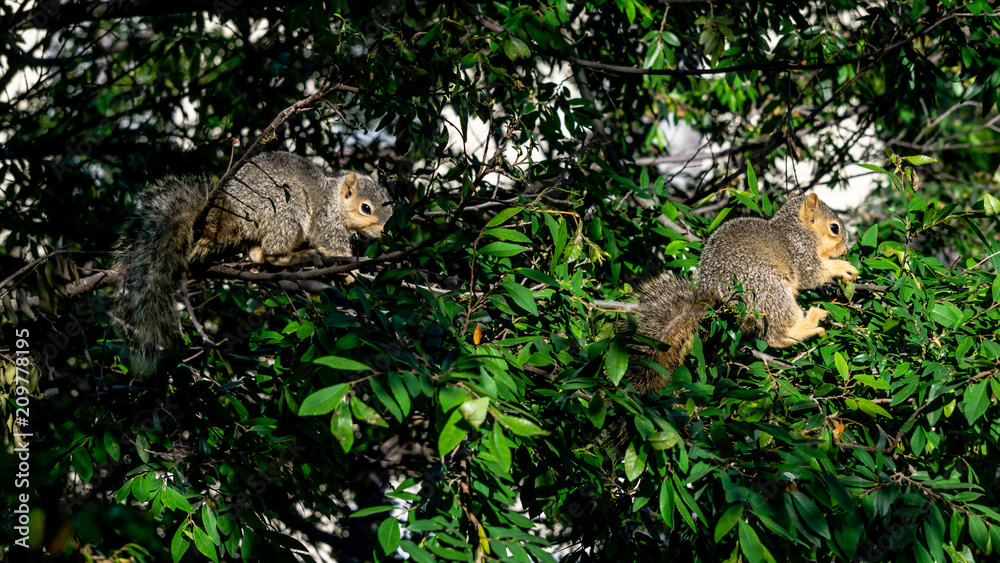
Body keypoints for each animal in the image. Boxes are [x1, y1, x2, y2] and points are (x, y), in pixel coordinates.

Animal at [109, 152, 390, 376]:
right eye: (366, 208)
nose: (383, 234)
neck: (335, 199)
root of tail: (233, 218)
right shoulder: (326, 222)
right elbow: (333, 245)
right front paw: (353, 273)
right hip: (286, 208)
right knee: (274, 248)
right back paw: (298, 256)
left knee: (257, 253)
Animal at [628, 192, 856, 394]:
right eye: (834, 228)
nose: (844, 251)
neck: (797, 228)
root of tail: (716, 300)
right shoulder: (800, 250)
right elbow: (812, 273)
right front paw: (841, 267)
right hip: (768, 288)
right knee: (775, 336)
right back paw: (807, 326)